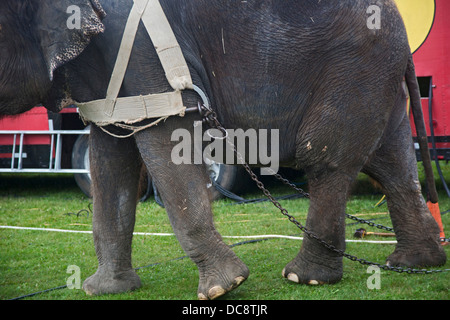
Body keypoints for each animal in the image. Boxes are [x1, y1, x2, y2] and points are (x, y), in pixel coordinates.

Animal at [0, 0, 446, 300]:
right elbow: (110, 158)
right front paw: (104, 290)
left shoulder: (144, 53)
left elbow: (169, 144)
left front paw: (224, 287)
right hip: (377, 76)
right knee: (392, 163)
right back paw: (416, 263)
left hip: (354, 64)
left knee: (326, 156)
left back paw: (306, 277)